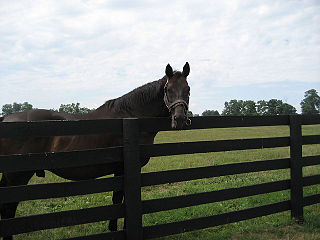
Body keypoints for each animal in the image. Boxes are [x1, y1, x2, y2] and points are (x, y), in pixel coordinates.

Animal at [0, 62, 190, 240]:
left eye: (187, 89)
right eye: (168, 89)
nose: (179, 119)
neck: (131, 116)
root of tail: (6, 118)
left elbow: (117, 200)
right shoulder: (123, 168)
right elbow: (120, 199)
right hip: (17, 176)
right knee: (9, 208)